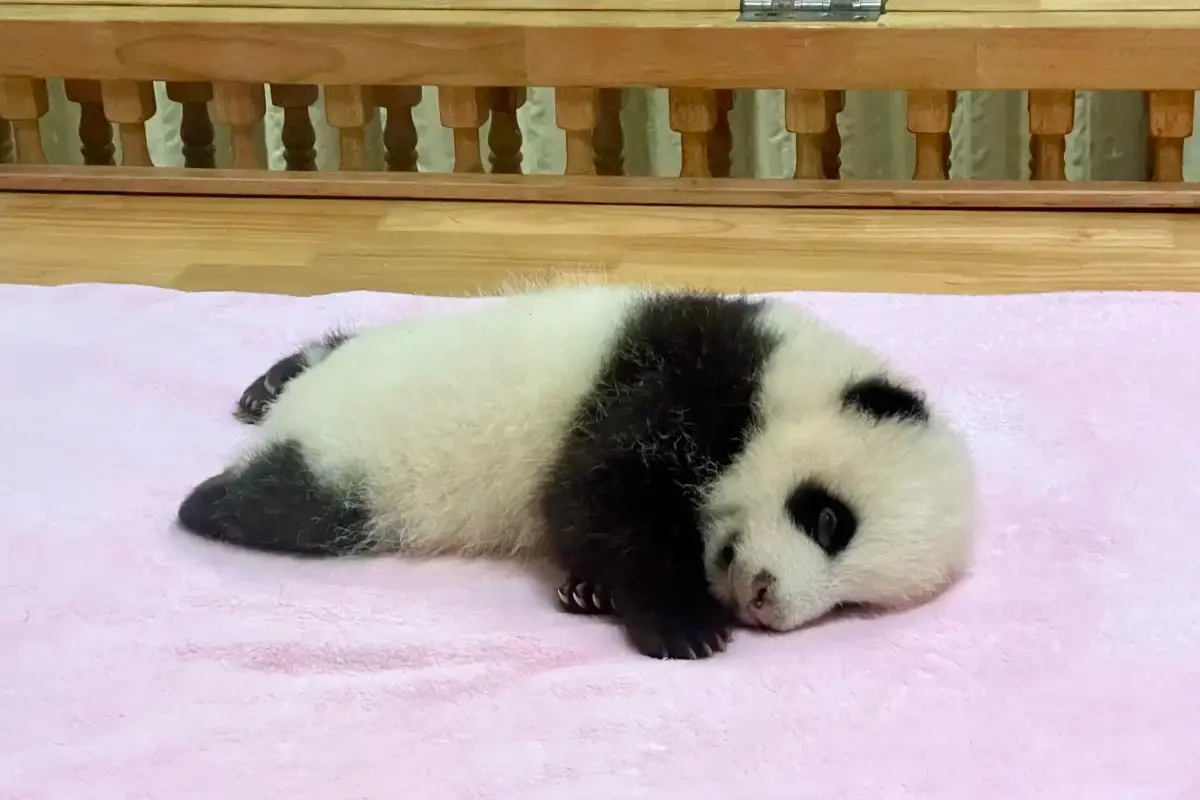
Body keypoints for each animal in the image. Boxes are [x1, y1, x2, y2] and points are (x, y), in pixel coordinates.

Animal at [178, 283, 976, 660]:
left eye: (851, 605)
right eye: (831, 520)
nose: (764, 601)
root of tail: (296, 415)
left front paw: (591, 593)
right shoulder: (682, 372)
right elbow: (598, 487)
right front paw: (682, 624)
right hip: (353, 468)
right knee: (280, 502)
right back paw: (213, 490)